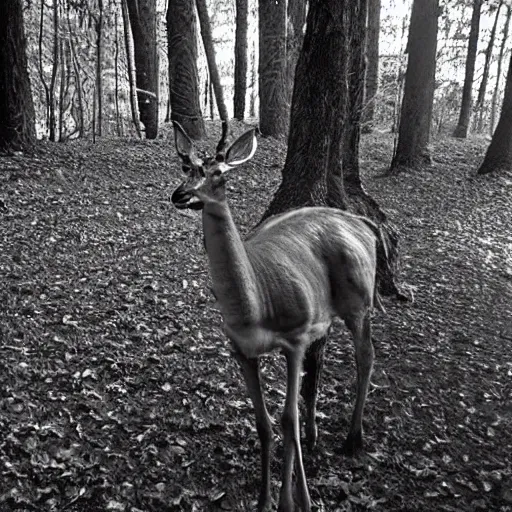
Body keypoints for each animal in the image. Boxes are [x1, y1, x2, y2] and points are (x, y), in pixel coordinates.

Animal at [170, 121, 386, 512]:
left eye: (219, 172)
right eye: (185, 166)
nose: (181, 195)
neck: (256, 307)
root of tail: (364, 223)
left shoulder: (295, 336)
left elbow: (287, 419)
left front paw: (292, 501)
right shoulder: (240, 349)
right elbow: (264, 423)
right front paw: (263, 499)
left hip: (360, 299)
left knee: (366, 355)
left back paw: (353, 439)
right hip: (325, 316)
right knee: (319, 365)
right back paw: (314, 435)